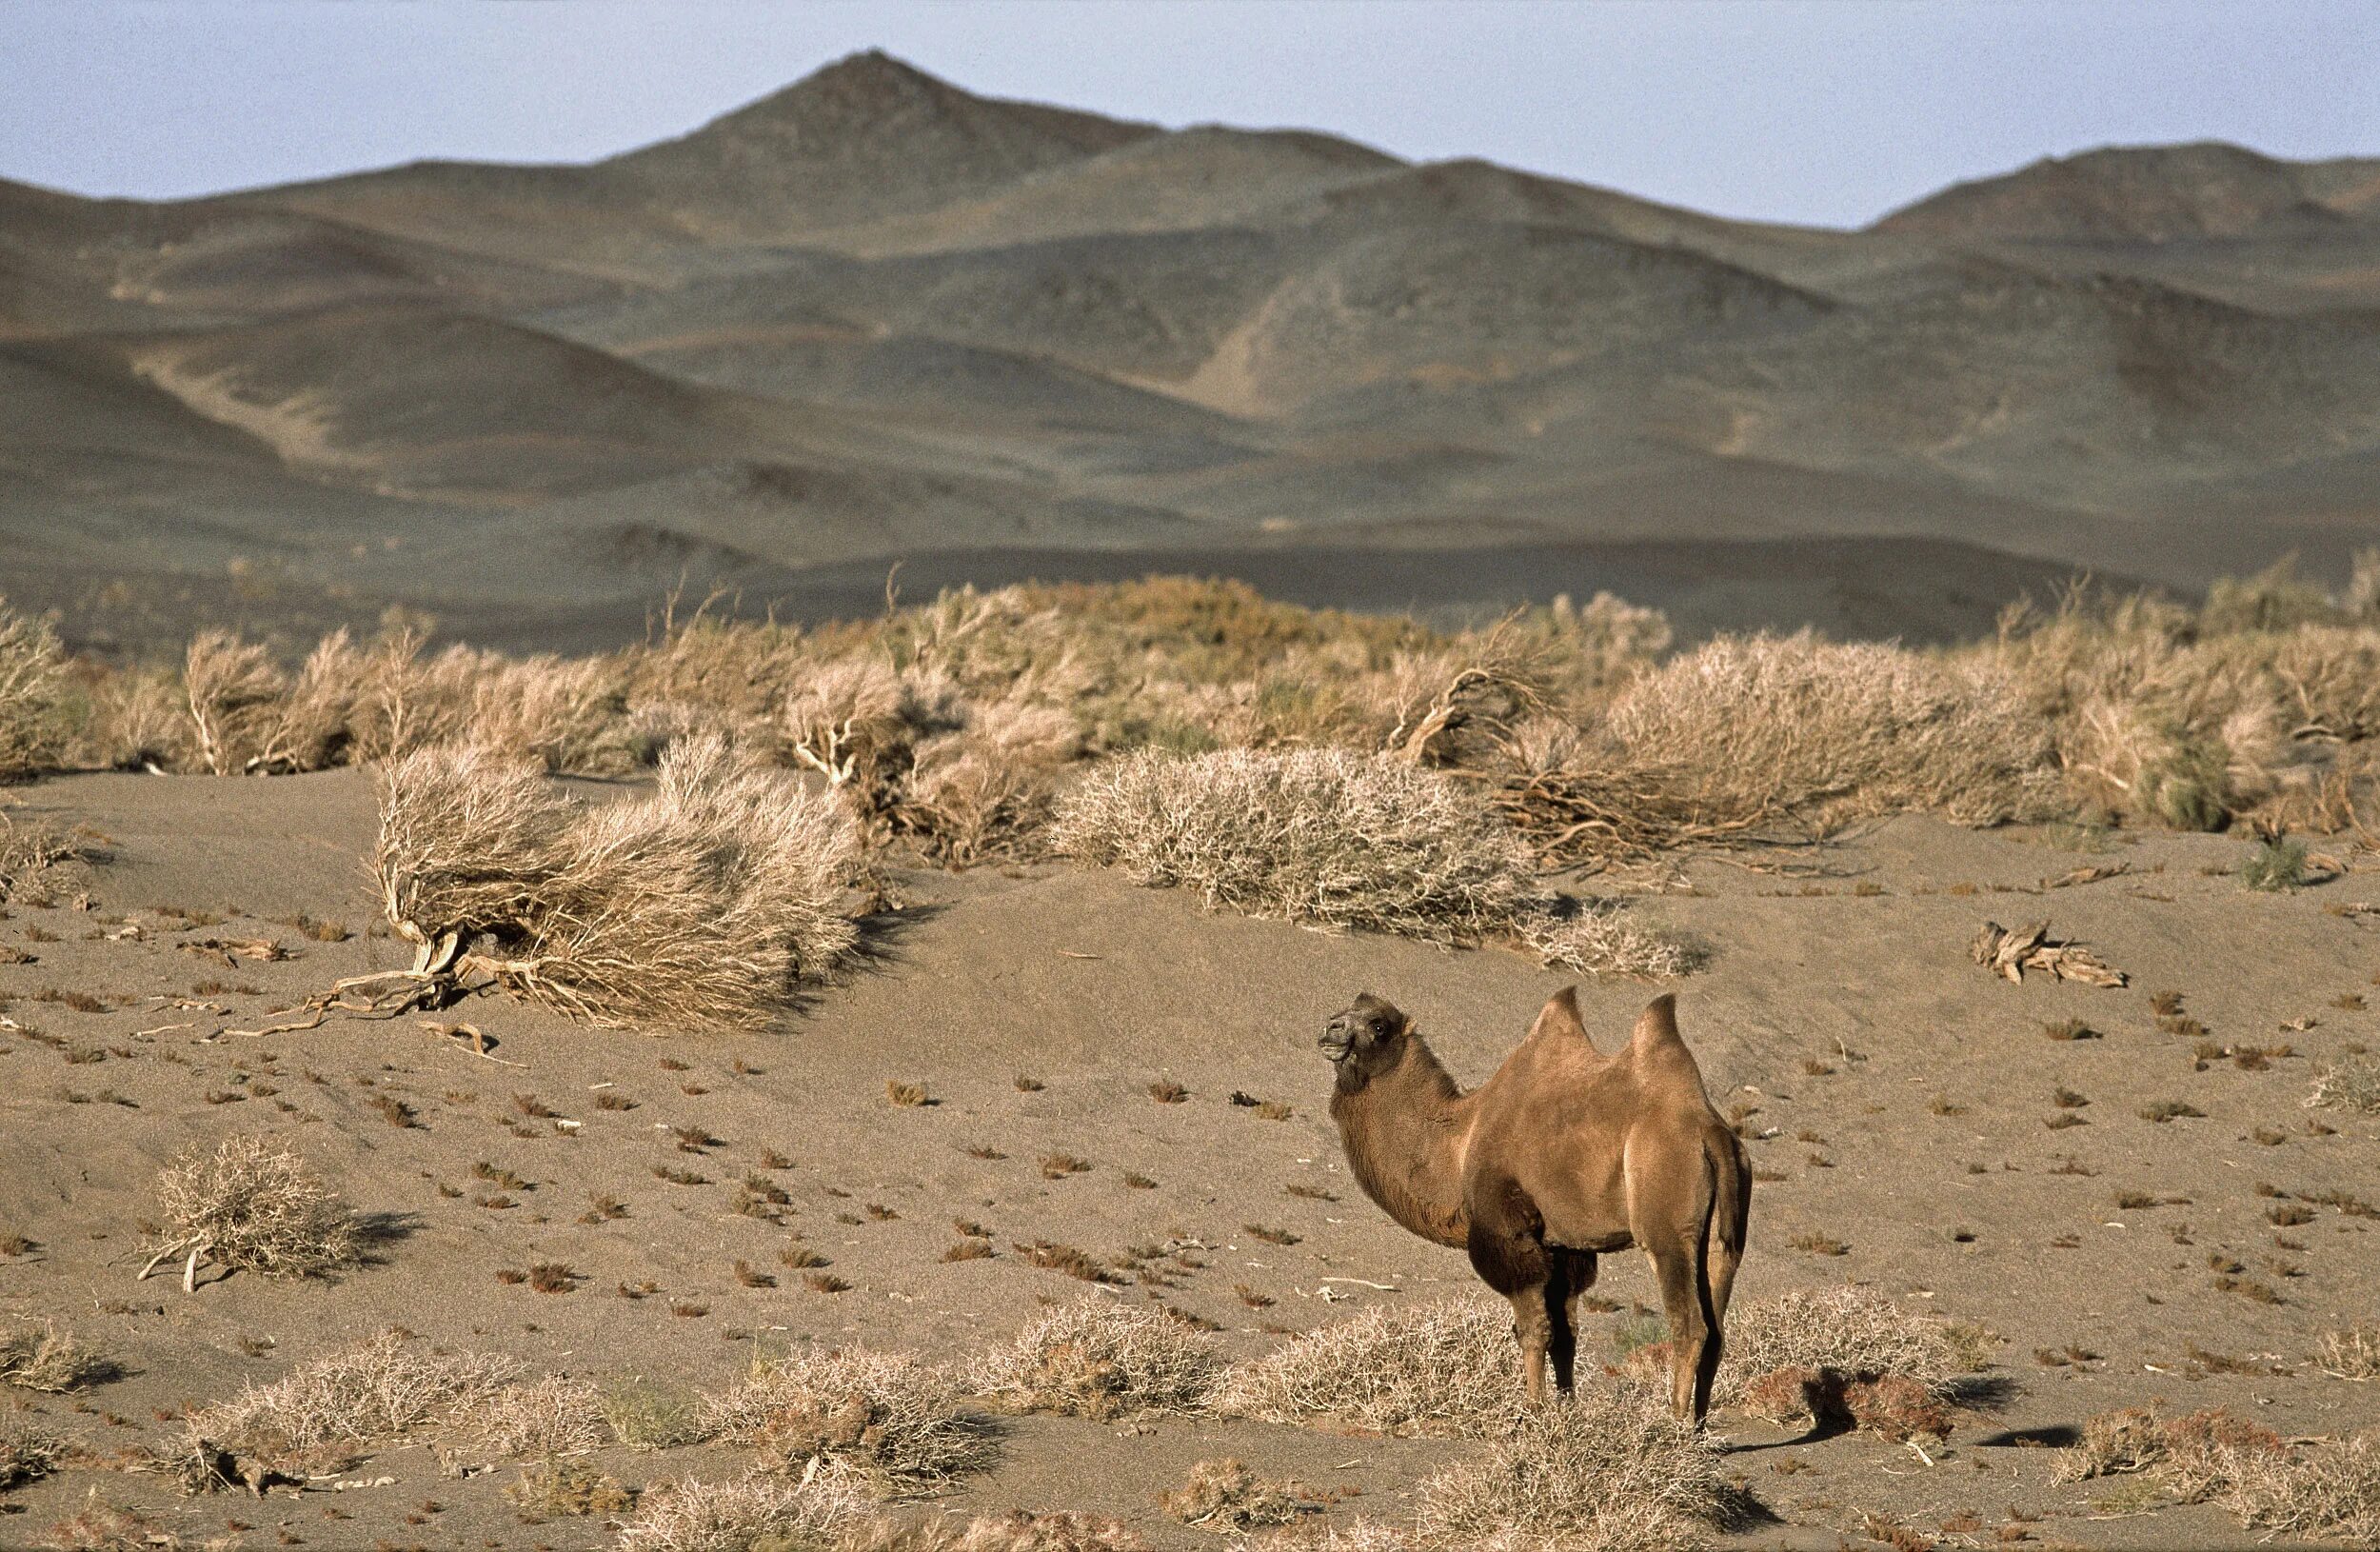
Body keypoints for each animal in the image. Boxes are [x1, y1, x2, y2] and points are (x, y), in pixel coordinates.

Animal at [1323, 990, 1752, 1428]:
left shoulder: (1508, 1231)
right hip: (1725, 1233)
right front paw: (1566, 1409)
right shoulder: (1563, 1245)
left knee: (1690, 1325)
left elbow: (1532, 1329)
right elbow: (1565, 1334)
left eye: (1379, 1025)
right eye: (1342, 1012)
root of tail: (1710, 1130)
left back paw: (1674, 1425)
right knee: (1717, 1327)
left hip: (1666, 1224)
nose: (1330, 1029)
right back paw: (1698, 1429)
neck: (1460, 1142)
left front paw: (1534, 1411)